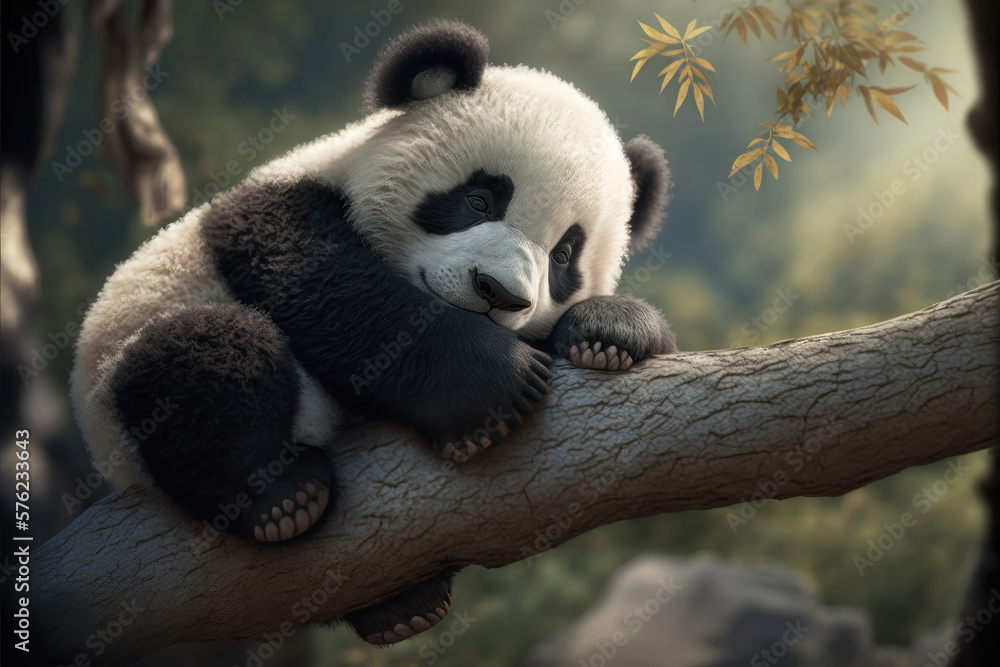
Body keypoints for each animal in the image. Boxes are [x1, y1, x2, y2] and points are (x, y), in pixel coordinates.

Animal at [70, 21, 676, 644]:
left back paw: (403, 606)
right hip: (125, 383)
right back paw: (281, 500)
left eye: (563, 256)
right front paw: (492, 386)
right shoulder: (279, 209)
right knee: (204, 360)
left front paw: (610, 330)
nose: (498, 292)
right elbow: (335, 294)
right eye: (478, 199)